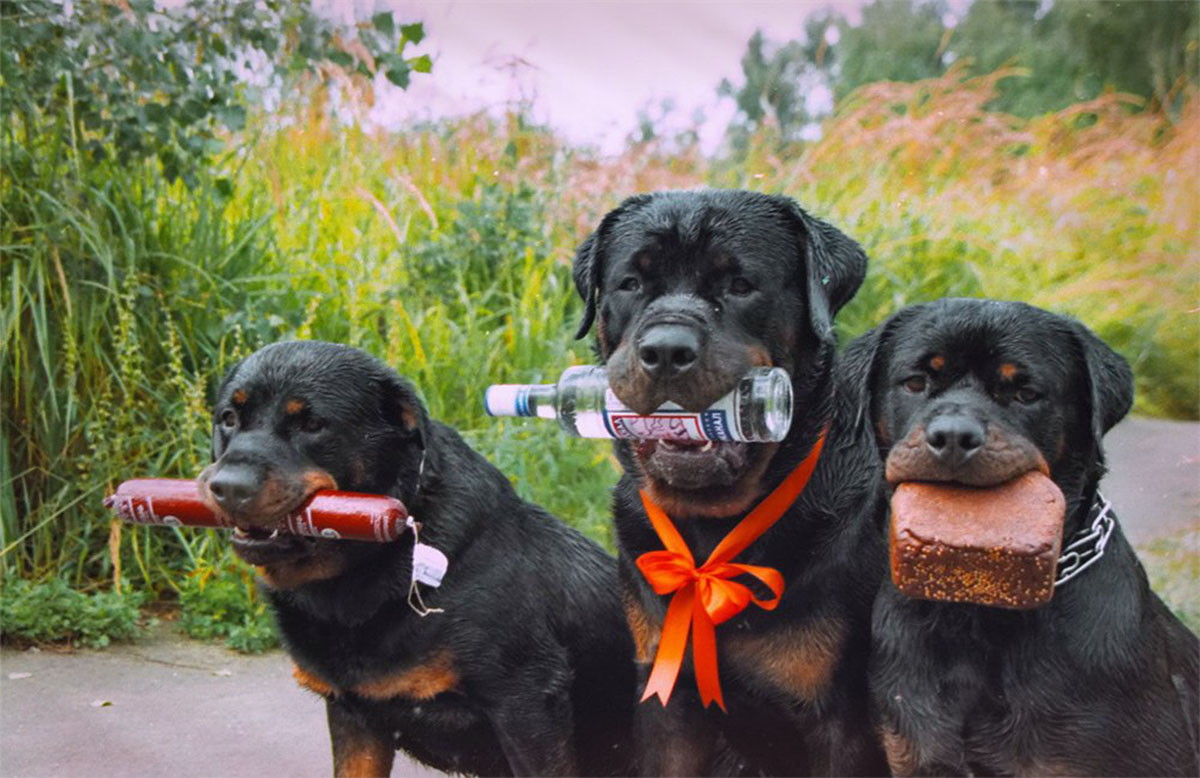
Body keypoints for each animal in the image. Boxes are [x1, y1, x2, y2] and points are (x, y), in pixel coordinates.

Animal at [571, 189, 892, 778]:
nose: (666, 350)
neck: (712, 529)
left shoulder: (840, 725)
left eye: (740, 285)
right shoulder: (667, 695)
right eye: (632, 283)